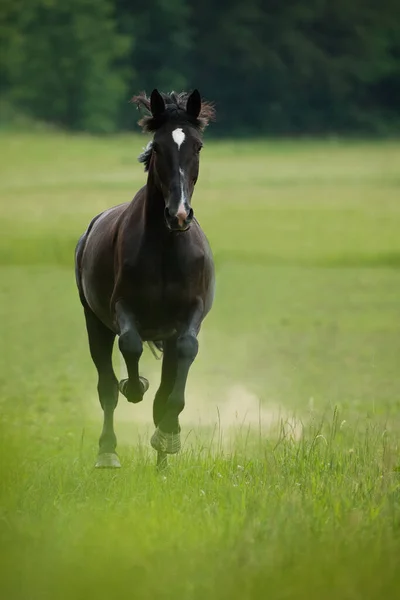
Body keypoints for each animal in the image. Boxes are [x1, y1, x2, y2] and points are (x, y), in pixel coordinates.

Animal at [74, 90, 216, 468]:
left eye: (197, 145)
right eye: (157, 147)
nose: (179, 214)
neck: (166, 248)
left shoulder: (190, 313)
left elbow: (183, 359)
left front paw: (168, 435)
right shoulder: (122, 307)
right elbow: (130, 345)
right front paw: (135, 386)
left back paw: (162, 461)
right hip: (94, 321)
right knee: (106, 385)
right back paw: (107, 453)